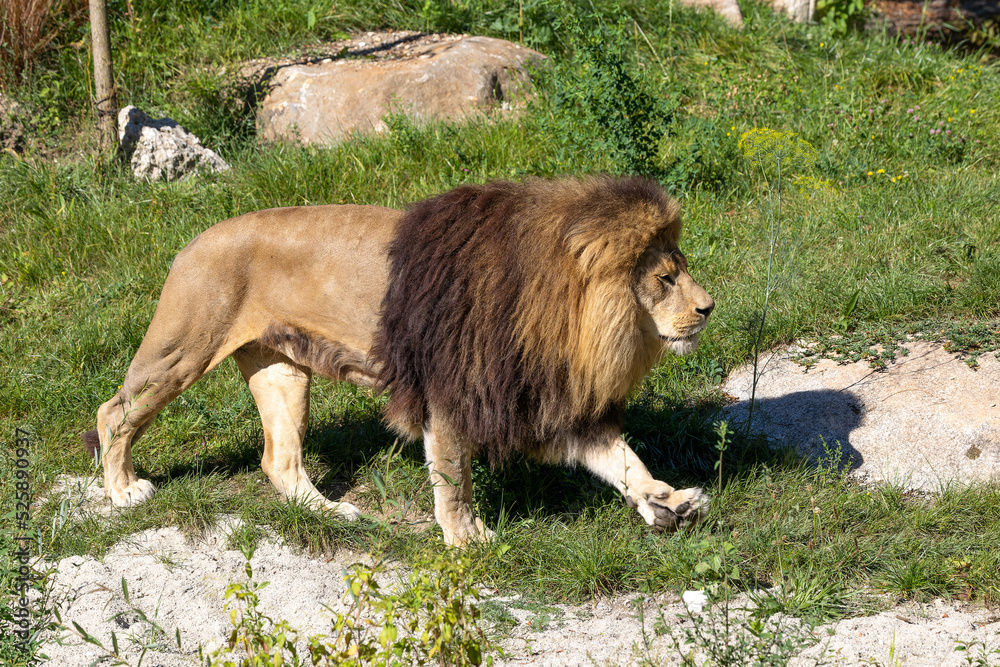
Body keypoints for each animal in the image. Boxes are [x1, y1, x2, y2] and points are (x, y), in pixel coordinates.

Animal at [83, 176, 715, 547]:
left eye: (679, 269)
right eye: (664, 279)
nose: (709, 308)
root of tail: (193, 240)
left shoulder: (549, 400)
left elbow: (623, 459)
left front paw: (666, 502)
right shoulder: (452, 394)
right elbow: (453, 479)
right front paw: (467, 539)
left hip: (281, 370)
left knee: (279, 461)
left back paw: (331, 513)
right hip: (184, 347)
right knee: (114, 412)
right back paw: (122, 490)